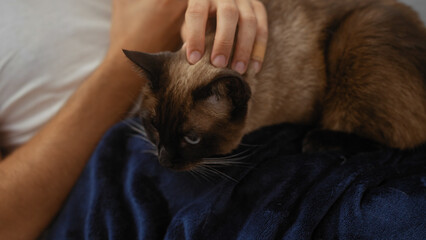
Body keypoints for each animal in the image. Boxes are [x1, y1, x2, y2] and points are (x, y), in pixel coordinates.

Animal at [122, 0, 426, 171]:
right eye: (154, 125)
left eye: (192, 139)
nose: (163, 161)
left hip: (359, 29)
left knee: (402, 141)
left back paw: (316, 141)